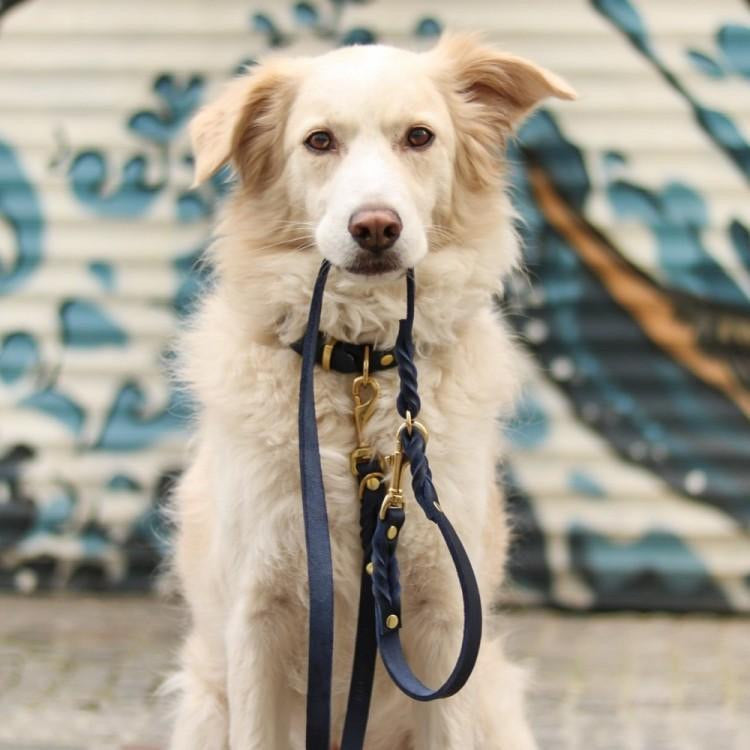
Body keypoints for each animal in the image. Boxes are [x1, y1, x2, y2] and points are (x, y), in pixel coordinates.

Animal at [170, 32, 580, 748]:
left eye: (419, 137)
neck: (361, 365)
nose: (376, 227)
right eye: (319, 141)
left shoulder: (448, 619)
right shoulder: (257, 617)